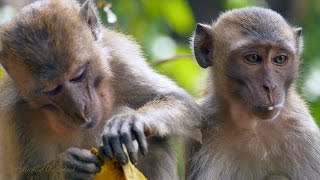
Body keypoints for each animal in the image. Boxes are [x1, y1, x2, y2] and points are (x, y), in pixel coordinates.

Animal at [0, 0, 202, 179]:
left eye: (78, 75)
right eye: (52, 90)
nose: (79, 108)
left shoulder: (119, 61)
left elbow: (181, 103)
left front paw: (129, 122)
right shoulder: (17, 114)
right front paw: (68, 168)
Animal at [184, 6, 320, 180]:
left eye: (280, 59)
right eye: (253, 58)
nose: (270, 86)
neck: (253, 125)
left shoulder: (303, 131)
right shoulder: (203, 127)